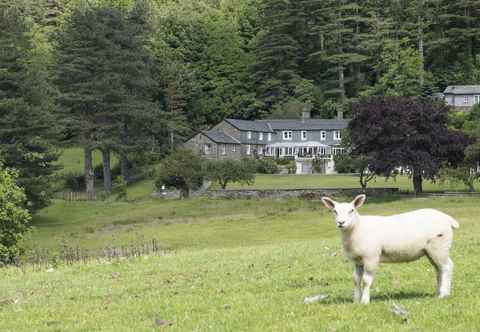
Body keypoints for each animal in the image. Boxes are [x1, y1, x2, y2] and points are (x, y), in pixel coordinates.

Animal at [320, 193, 460, 304]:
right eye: (335, 211)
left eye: (352, 210)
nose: (341, 223)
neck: (358, 227)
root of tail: (447, 218)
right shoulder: (357, 260)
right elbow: (356, 279)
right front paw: (355, 300)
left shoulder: (371, 257)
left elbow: (366, 280)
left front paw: (365, 301)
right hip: (431, 251)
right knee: (439, 269)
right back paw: (438, 292)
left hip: (439, 246)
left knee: (447, 266)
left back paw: (444, 295)